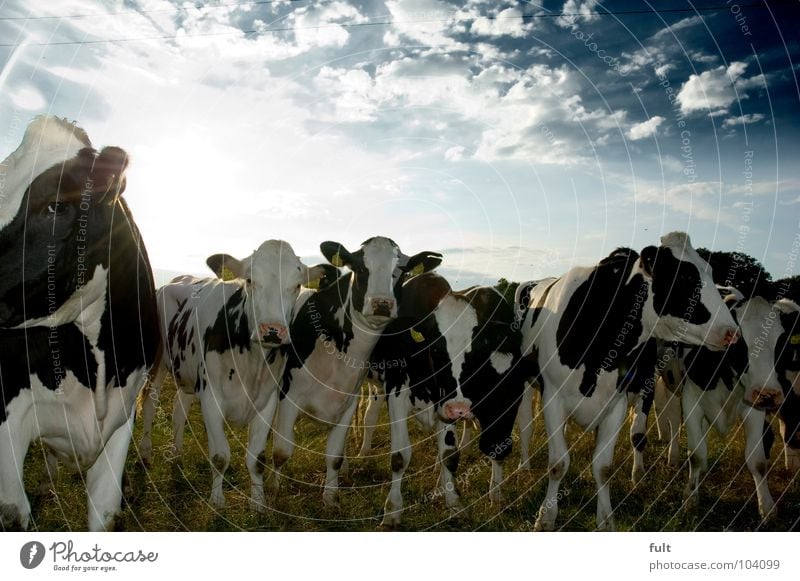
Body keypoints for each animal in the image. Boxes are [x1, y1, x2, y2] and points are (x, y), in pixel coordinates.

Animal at [139, 242, 336, 510]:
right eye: (250, 280)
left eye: (297, 285)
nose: (272, 330)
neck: (252, 361)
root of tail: (176, 280)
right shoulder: (211, 398)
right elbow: (220, 456)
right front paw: (217, 501)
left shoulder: (267, 402)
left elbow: (257, 459)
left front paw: (258, 503)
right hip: (157, 361)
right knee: (150, 403)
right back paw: (145, 454)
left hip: (187, 373)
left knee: (179, 408)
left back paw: (177, 454)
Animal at [272, 237, 440, 508]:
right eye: (360, 268)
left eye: (401, 272)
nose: (382, 303)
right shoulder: (288, 395)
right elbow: (281, 451)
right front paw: (270, 495)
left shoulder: (347, 401)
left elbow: (334, 455)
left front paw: (330, 499)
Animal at [370, 274, 532, 528]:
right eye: (436, 348)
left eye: (474, 351)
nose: (460, 409)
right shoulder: (396, 392)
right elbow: (399, 457)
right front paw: (392, 512)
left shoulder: (447, 406)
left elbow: (448, 455)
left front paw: (454, 503)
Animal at [520, 232, 740, 532]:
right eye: (684, 276)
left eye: (709, 270)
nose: (732, 332)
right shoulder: (552, 398)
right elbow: (558, 463)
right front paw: (546, 517)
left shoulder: (617, 404)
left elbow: (603, 466)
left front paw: (606, 520)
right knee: (528, 425)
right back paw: (524, 466)